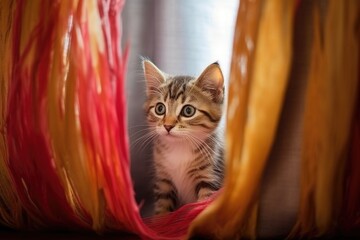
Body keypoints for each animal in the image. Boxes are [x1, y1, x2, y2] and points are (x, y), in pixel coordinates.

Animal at [142, 60, 224, 216]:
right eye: (160, 109)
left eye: (188, 111)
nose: (168, 126)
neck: (179, 147)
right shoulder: (164, 180)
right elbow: (163, 210)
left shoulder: (209, 178)